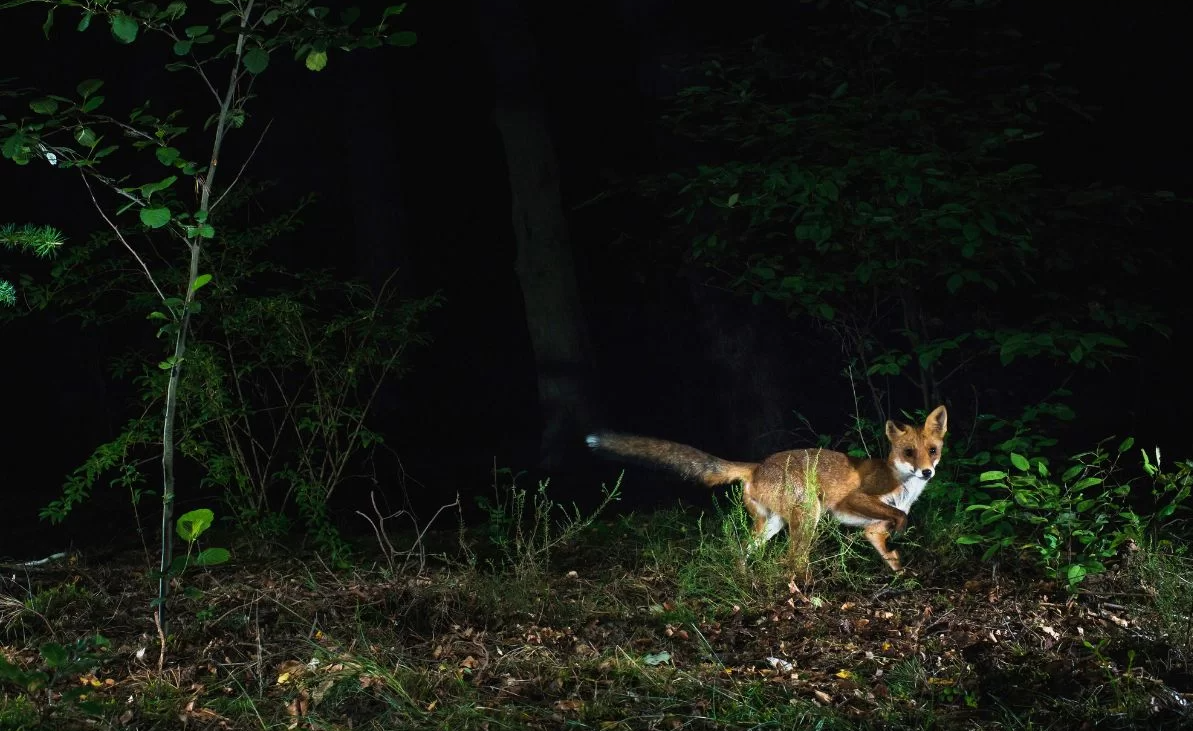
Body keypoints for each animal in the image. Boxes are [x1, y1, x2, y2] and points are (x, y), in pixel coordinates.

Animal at [586, 405, 947, 578]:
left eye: (932, 450)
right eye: (909, 452)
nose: (927, 472)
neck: (901, 485)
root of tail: (757, 465)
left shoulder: (872, 532)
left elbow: (892, 556)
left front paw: (905, 578)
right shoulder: (854, 498)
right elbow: (897, 515)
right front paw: (902, 530)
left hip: (772, 524)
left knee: (741, 551)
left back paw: (747, 579)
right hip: (809, 515)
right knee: (791, 561)